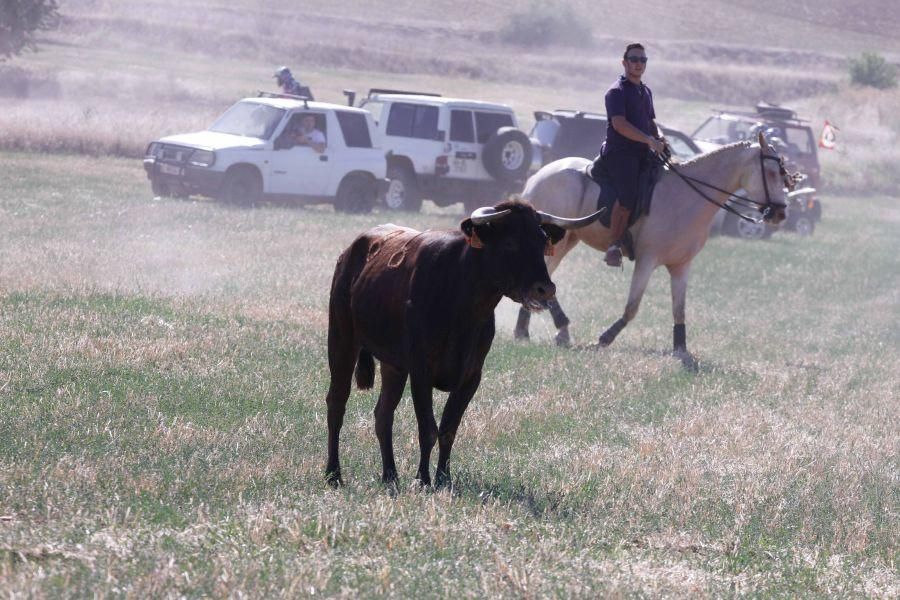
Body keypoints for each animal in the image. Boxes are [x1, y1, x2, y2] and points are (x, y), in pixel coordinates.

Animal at [326, 202, 604, 488]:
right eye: (510, 243)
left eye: (541, 241)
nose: (545, 289)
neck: (462, 303)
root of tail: (350, 252)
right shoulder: (421, 371)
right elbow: (428, 429)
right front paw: (423, 479)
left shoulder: (471, 376)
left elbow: (449, 429)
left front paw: (442, 479)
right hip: (341, 340)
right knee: (336, 404)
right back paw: (334, 474)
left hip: (393, 366)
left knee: (383, 415)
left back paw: (390, 476)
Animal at [512, 134, 796, 354]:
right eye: (771, 172)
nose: (780, 213)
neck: (686, 198)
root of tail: (538, 176)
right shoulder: (647, 261)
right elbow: (632, 307)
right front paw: (604, 339)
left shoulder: (681, 266)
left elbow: (679, 310)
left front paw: (681, 350)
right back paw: (558, 327)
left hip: (568, 240)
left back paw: (528, 330)